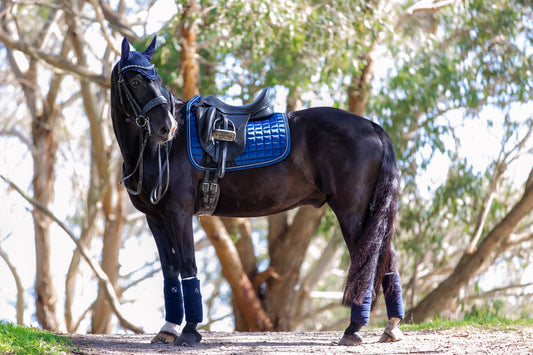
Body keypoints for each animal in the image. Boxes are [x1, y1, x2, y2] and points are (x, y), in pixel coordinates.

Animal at [111, 36, 404, 348]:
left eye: (156, 79)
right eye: (135, 80)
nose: (167, 127)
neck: (157, 151)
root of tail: (372, 127)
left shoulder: (178, 212)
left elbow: (188, 267)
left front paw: (189, 331)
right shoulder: (155, 217)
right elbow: (170, 271)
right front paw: (168, 329)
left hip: (354, 212)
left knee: (369, 260)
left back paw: (354, 329)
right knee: (386, 258)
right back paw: (390, 326)